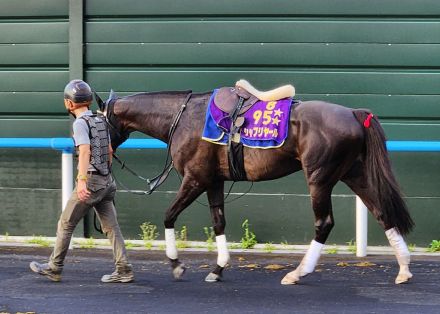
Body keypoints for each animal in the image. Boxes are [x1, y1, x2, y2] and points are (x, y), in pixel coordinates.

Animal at [97, 80, 416, 284]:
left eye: (99, 121)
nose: (100, 152)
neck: (184, 117)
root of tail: (353, 113)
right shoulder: (214, 181)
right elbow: (219, 222)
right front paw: (218, 268)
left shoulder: (195, 178)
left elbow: (168, 215)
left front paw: (176, 264)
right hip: (353, 174)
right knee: (381, 211)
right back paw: (403, 269)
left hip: (319, 178)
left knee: (324, 223)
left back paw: (298, 273)